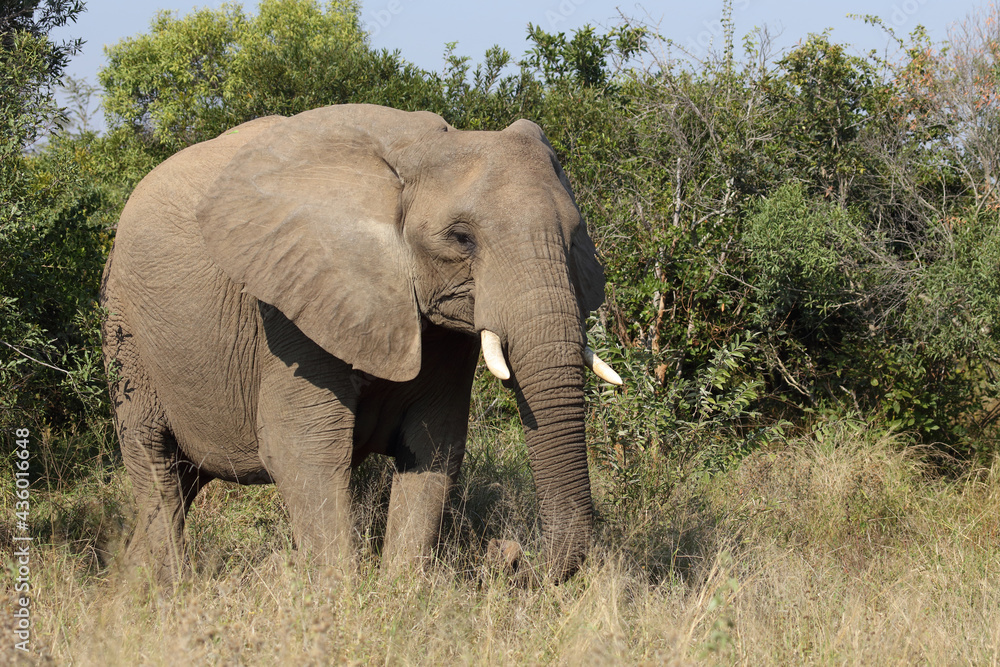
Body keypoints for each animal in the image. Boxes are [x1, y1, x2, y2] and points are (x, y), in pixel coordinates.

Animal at [99, 103, 616, 584]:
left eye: (575, 238)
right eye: (461, 238)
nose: (506, 555)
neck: (419, 151)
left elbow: (433, 447)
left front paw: (402, 591)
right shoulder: (293, 306)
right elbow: (303, 452)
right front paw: (338, 595)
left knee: (183, 480)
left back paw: (131, 580)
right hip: (124, 330)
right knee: (156, 466)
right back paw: (168, 589)